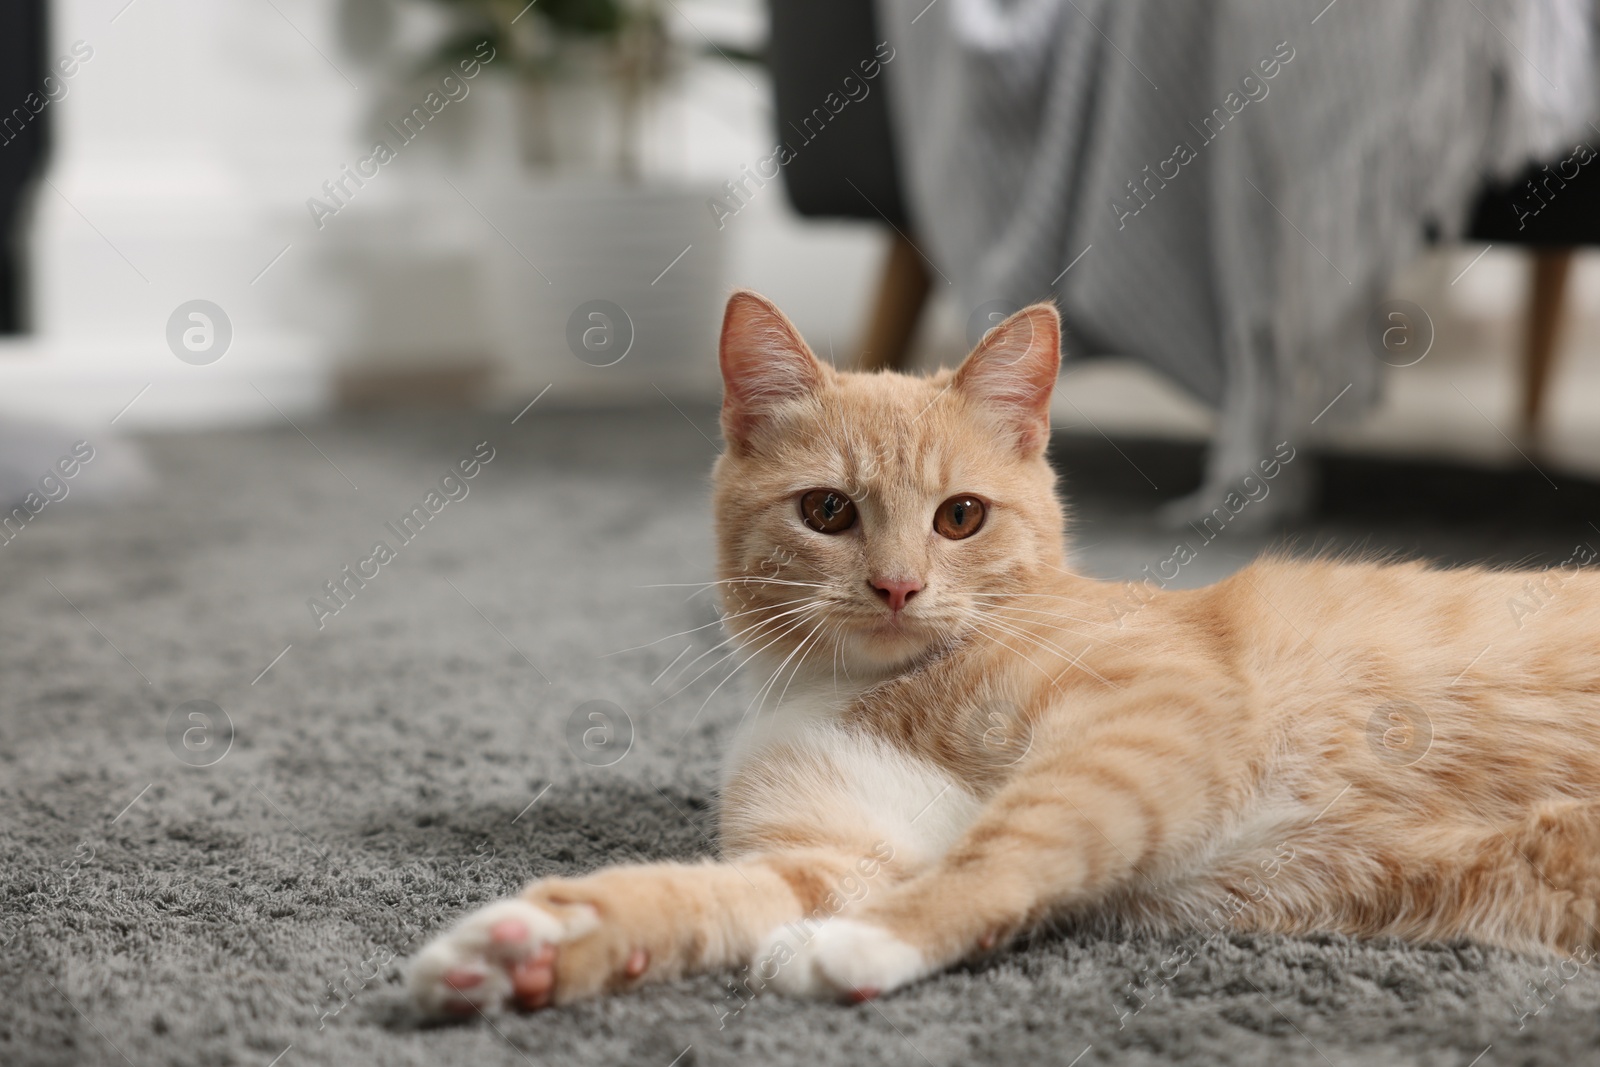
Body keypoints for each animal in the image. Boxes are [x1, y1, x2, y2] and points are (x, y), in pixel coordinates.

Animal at [406, 289, 1600, 1017]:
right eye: (828, 510)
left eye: (961, 517)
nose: (897, 584)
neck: (865, 687)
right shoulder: (841, 851)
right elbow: (702, 895)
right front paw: (533, 941)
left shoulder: (1149, 718)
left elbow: (1009, 843)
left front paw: (865, 943)